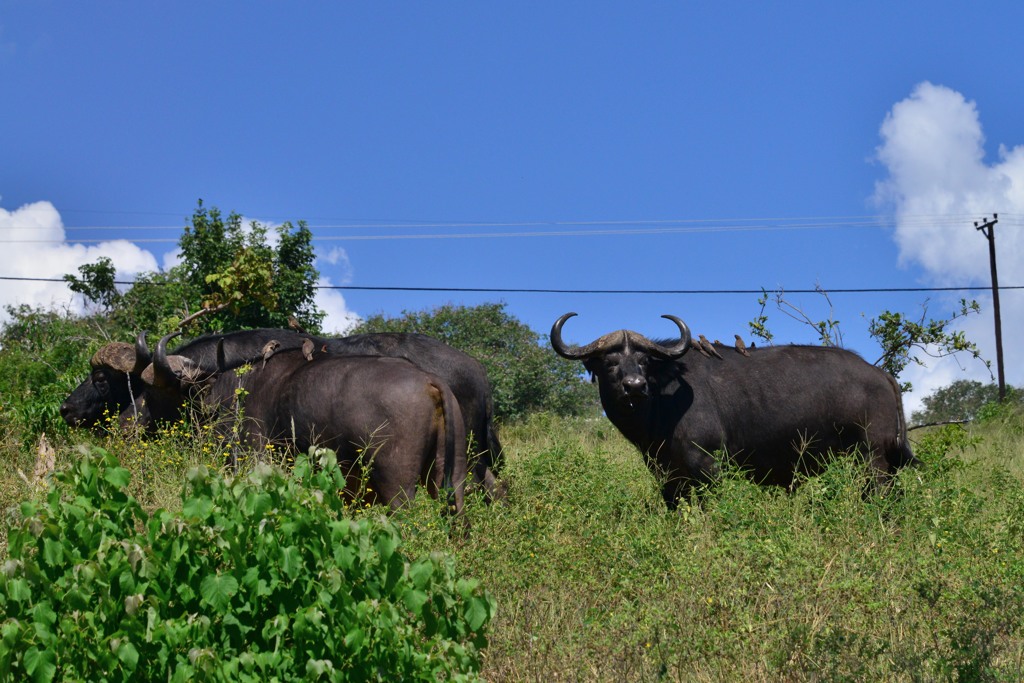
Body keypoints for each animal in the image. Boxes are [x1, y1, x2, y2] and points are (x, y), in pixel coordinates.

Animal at [552, 313, 913, 509]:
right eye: (610, 362)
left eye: (643, 361)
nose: (635, 385)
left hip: (872, 458)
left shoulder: (710, 466)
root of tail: (880, 374)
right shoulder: (666, 476)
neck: (662, 403)